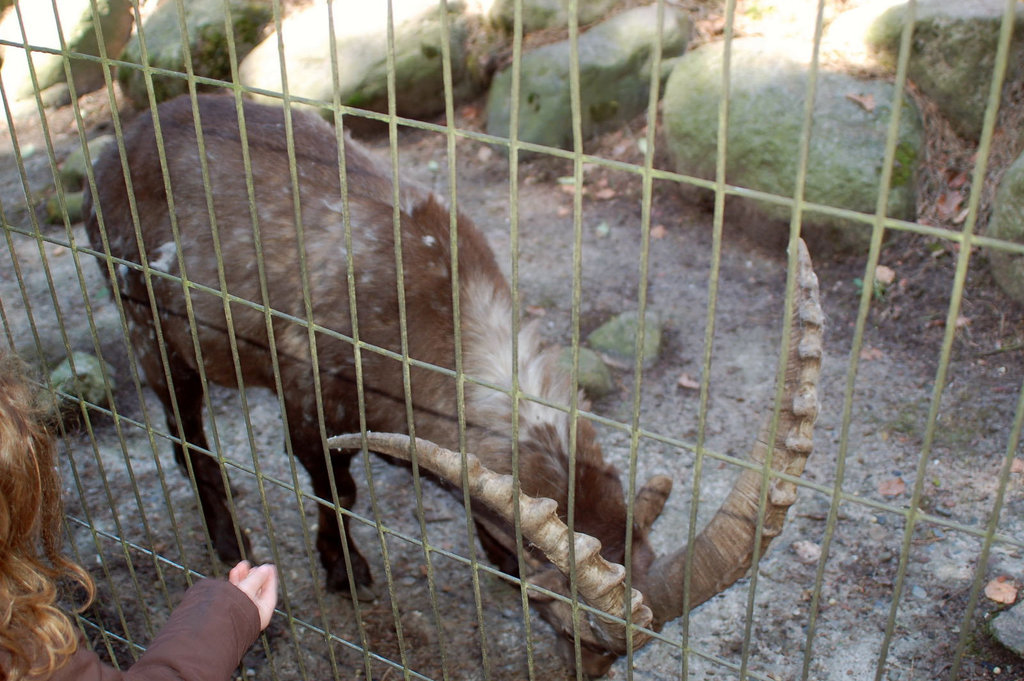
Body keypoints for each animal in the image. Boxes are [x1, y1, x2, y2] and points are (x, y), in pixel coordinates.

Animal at [86, 94, 823, 675]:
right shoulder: (307, 394)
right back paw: (229, 539)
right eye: (575, 628)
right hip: (148, 325)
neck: (427, 308)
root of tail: (114, 147)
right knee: (185, 430)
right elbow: (336, 487)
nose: (581, 673)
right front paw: (346, 572)